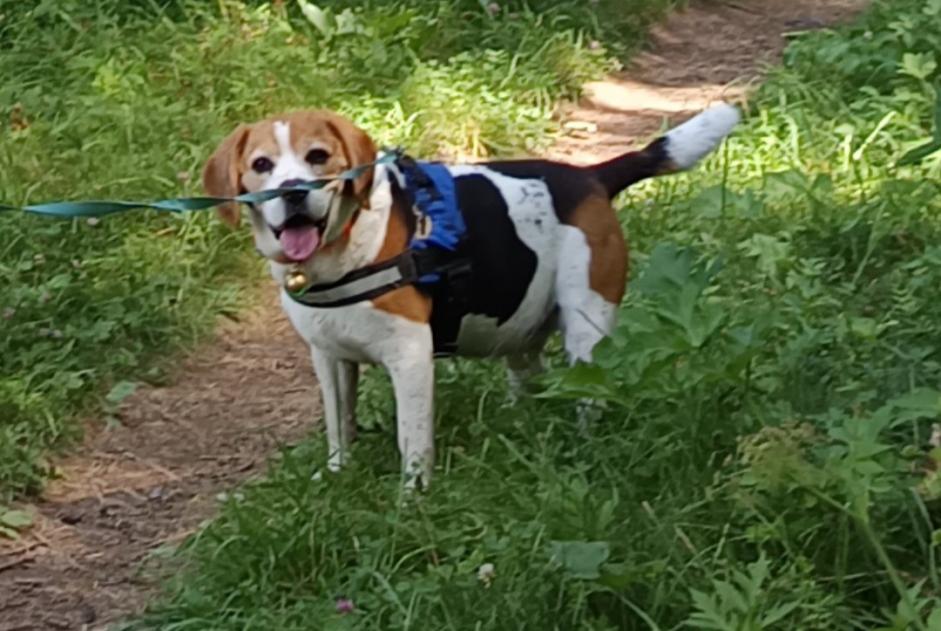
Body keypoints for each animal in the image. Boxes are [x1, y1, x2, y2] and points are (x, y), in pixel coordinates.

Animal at [204, 106, 740, 488]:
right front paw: (337, 477)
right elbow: (340, 427)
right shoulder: (329, 357)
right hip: (522, 332)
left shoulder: (410, 358)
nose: (292, 191)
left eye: (318, 155)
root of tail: (591, 177)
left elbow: (412, 442)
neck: (343, 250)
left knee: (591, 393)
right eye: (262, 165)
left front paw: (411, 501)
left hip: (588, 330)